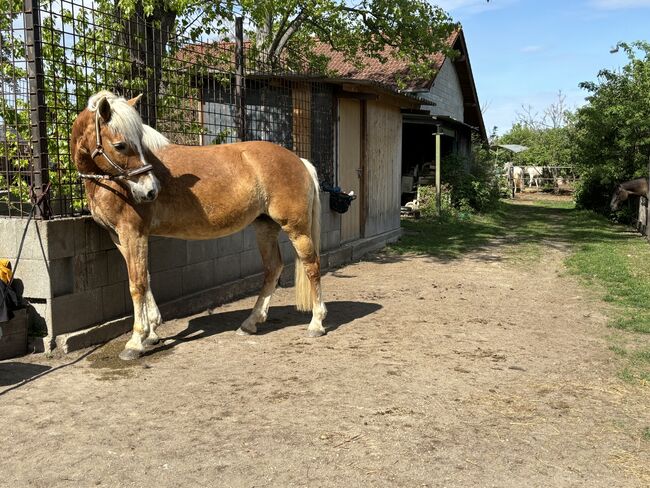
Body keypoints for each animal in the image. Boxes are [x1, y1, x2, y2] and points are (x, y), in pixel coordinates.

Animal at [71, 90, 326, 358]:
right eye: (120, 145)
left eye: (138, 142)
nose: (150, 191)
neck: (111, 184)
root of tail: (299, 160)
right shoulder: (120, 237)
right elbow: (145, 277)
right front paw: (152, 332)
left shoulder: (133, 234)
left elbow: (137, 284)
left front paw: (136, 340)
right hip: (264, 227)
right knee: (273, 269)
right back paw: (250, 323)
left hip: (296, 229)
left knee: (312, 266)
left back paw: (316, 324)